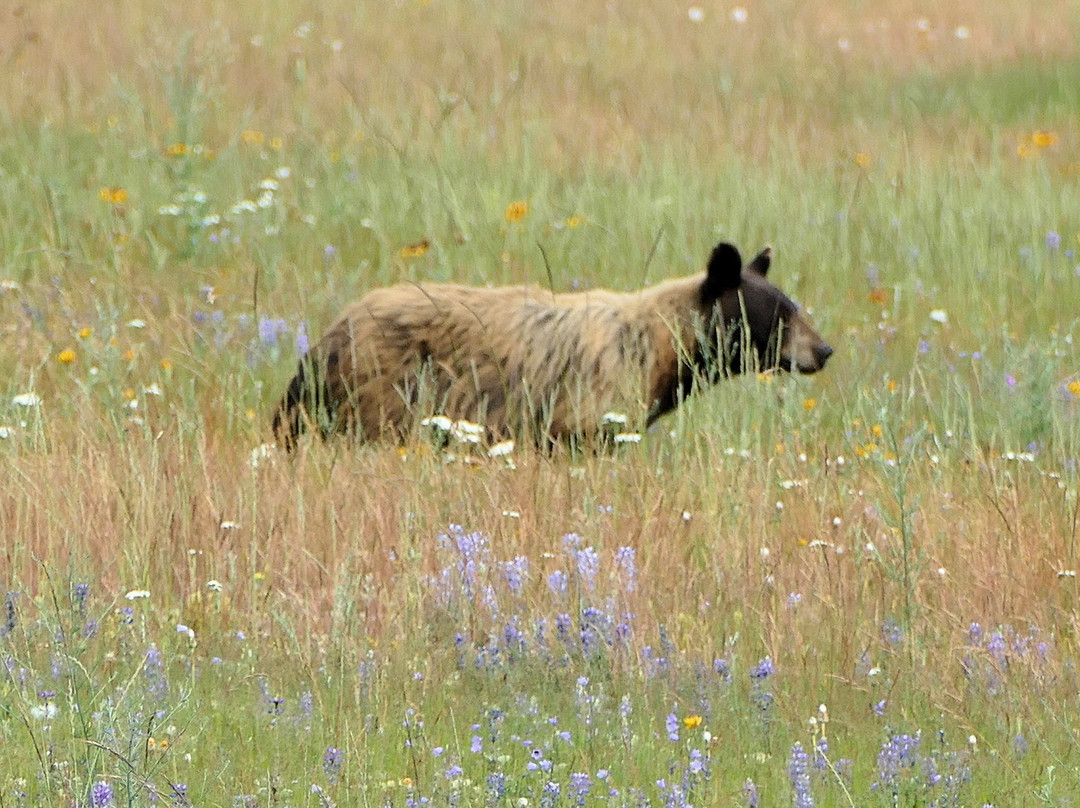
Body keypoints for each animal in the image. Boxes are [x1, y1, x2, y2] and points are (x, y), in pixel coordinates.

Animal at [270, 243, 833, 451]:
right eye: (780, 315)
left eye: (793, 305)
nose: (824, 350)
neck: (660, 347)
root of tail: (328, 336)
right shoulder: (590, 402)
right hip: (378, 391)